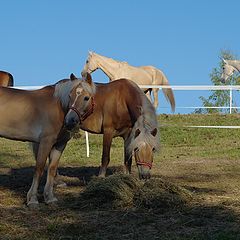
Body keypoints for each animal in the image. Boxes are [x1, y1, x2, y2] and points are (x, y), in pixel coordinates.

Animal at [0, 76, 84, 206]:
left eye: (87, 98)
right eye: (70, 96)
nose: (71, 121)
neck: (58, 106)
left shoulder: (60, 144)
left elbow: (51, 168)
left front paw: (50, 198)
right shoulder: (45, 142)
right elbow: (39, 168)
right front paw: (32, 200)